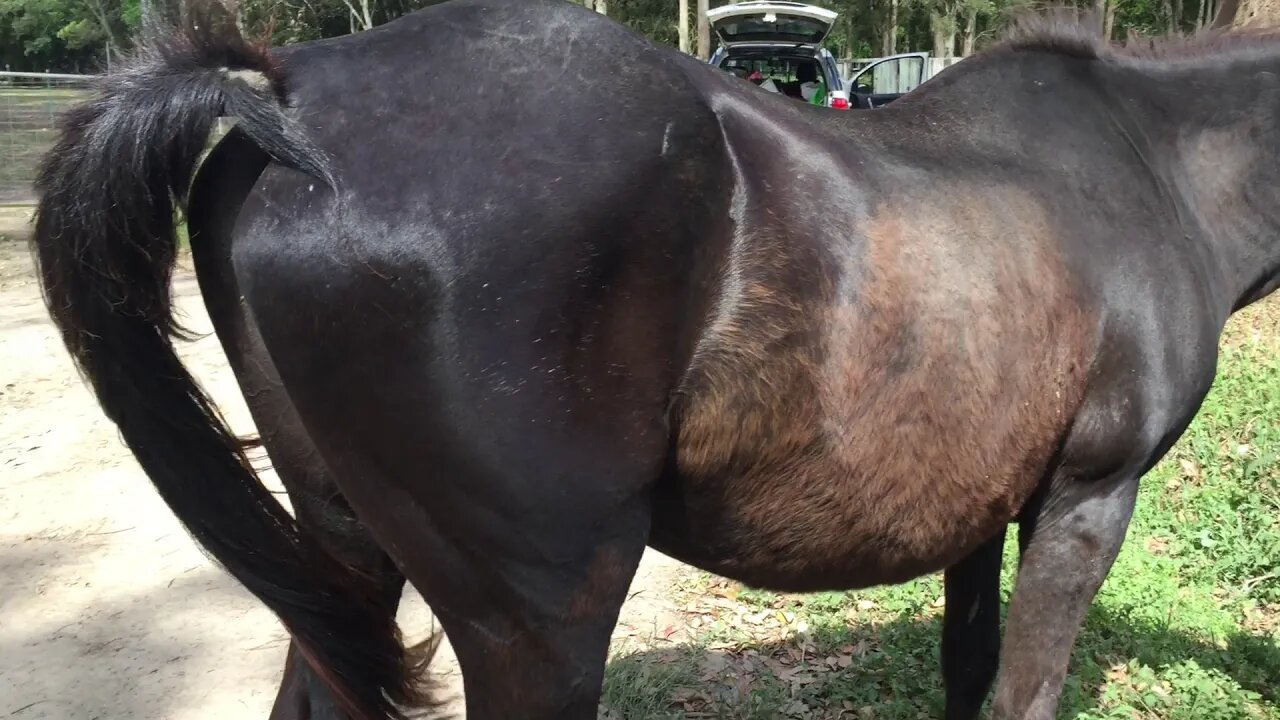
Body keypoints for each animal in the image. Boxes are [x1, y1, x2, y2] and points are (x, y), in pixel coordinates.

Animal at [30, 2, 1280, 712]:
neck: (1151, 164)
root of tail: (296, 94)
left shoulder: (978, 503)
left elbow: (966, 669)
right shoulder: (1083, 499)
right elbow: (1024, 689)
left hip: (344, 555)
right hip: (541, 619)